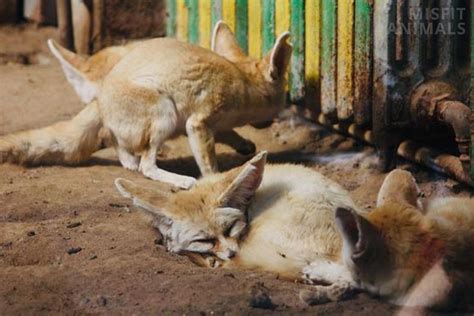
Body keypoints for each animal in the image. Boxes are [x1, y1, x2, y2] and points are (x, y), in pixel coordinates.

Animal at [0, 22, 292, 190]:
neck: (242, 80)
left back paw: (129, 159)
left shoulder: (208, 122)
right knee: (145, 166)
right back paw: (180, 180)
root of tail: (101, 99)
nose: (268, 123)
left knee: (120, 145)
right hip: (164, 112)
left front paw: (245, 144)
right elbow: (209, 162)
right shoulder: (198, 121)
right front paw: (215, 180)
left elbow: (229, 134)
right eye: (281, 101)